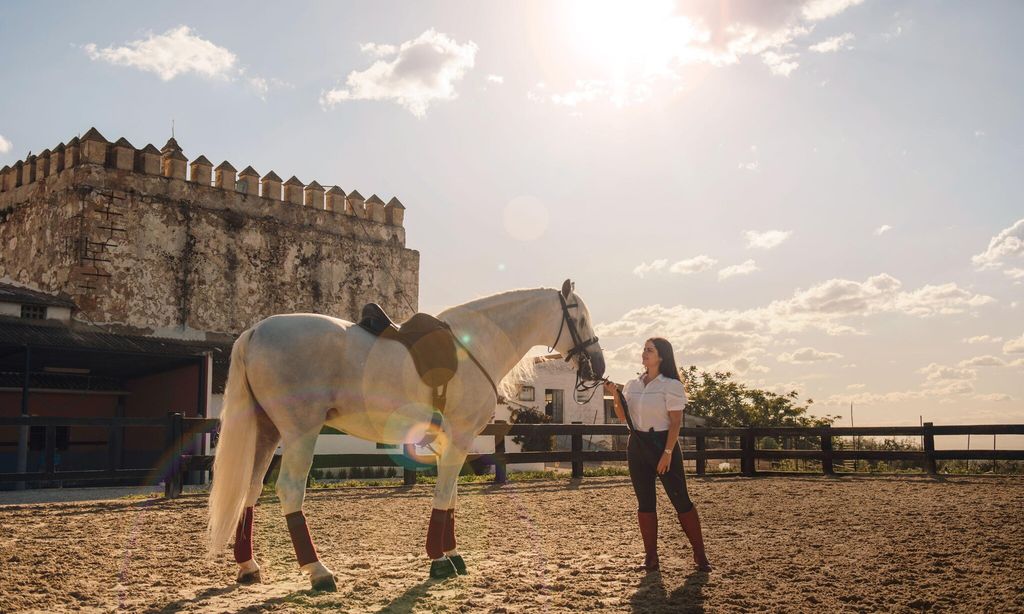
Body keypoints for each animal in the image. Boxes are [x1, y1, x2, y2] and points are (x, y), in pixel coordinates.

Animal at [210, 280, 602, 589]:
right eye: (579, 318)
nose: (598, 367)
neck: (474, 345)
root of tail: (257, 331)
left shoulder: (450, 441)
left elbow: (451, 496)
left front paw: (452, 554)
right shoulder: (460, 435)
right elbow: (443, 495)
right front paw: (439, 561)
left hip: (266, 432)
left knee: (251, 488)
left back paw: (248, 566)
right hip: (300, 433)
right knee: (290, 491)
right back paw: (319, 572)